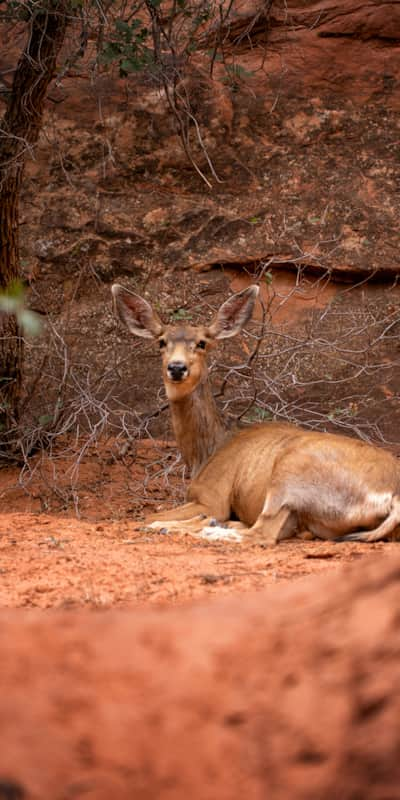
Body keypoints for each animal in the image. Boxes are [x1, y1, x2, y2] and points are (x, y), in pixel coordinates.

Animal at [111, 284, 400, 548]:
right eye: (161, 342)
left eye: (202, 343)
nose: (177, 367)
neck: (208, 450)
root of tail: (393, 496)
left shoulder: (213, 497)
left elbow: (148, 515)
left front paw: (171, 524)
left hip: (291, 473)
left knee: (262, 533)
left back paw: (194, 528)